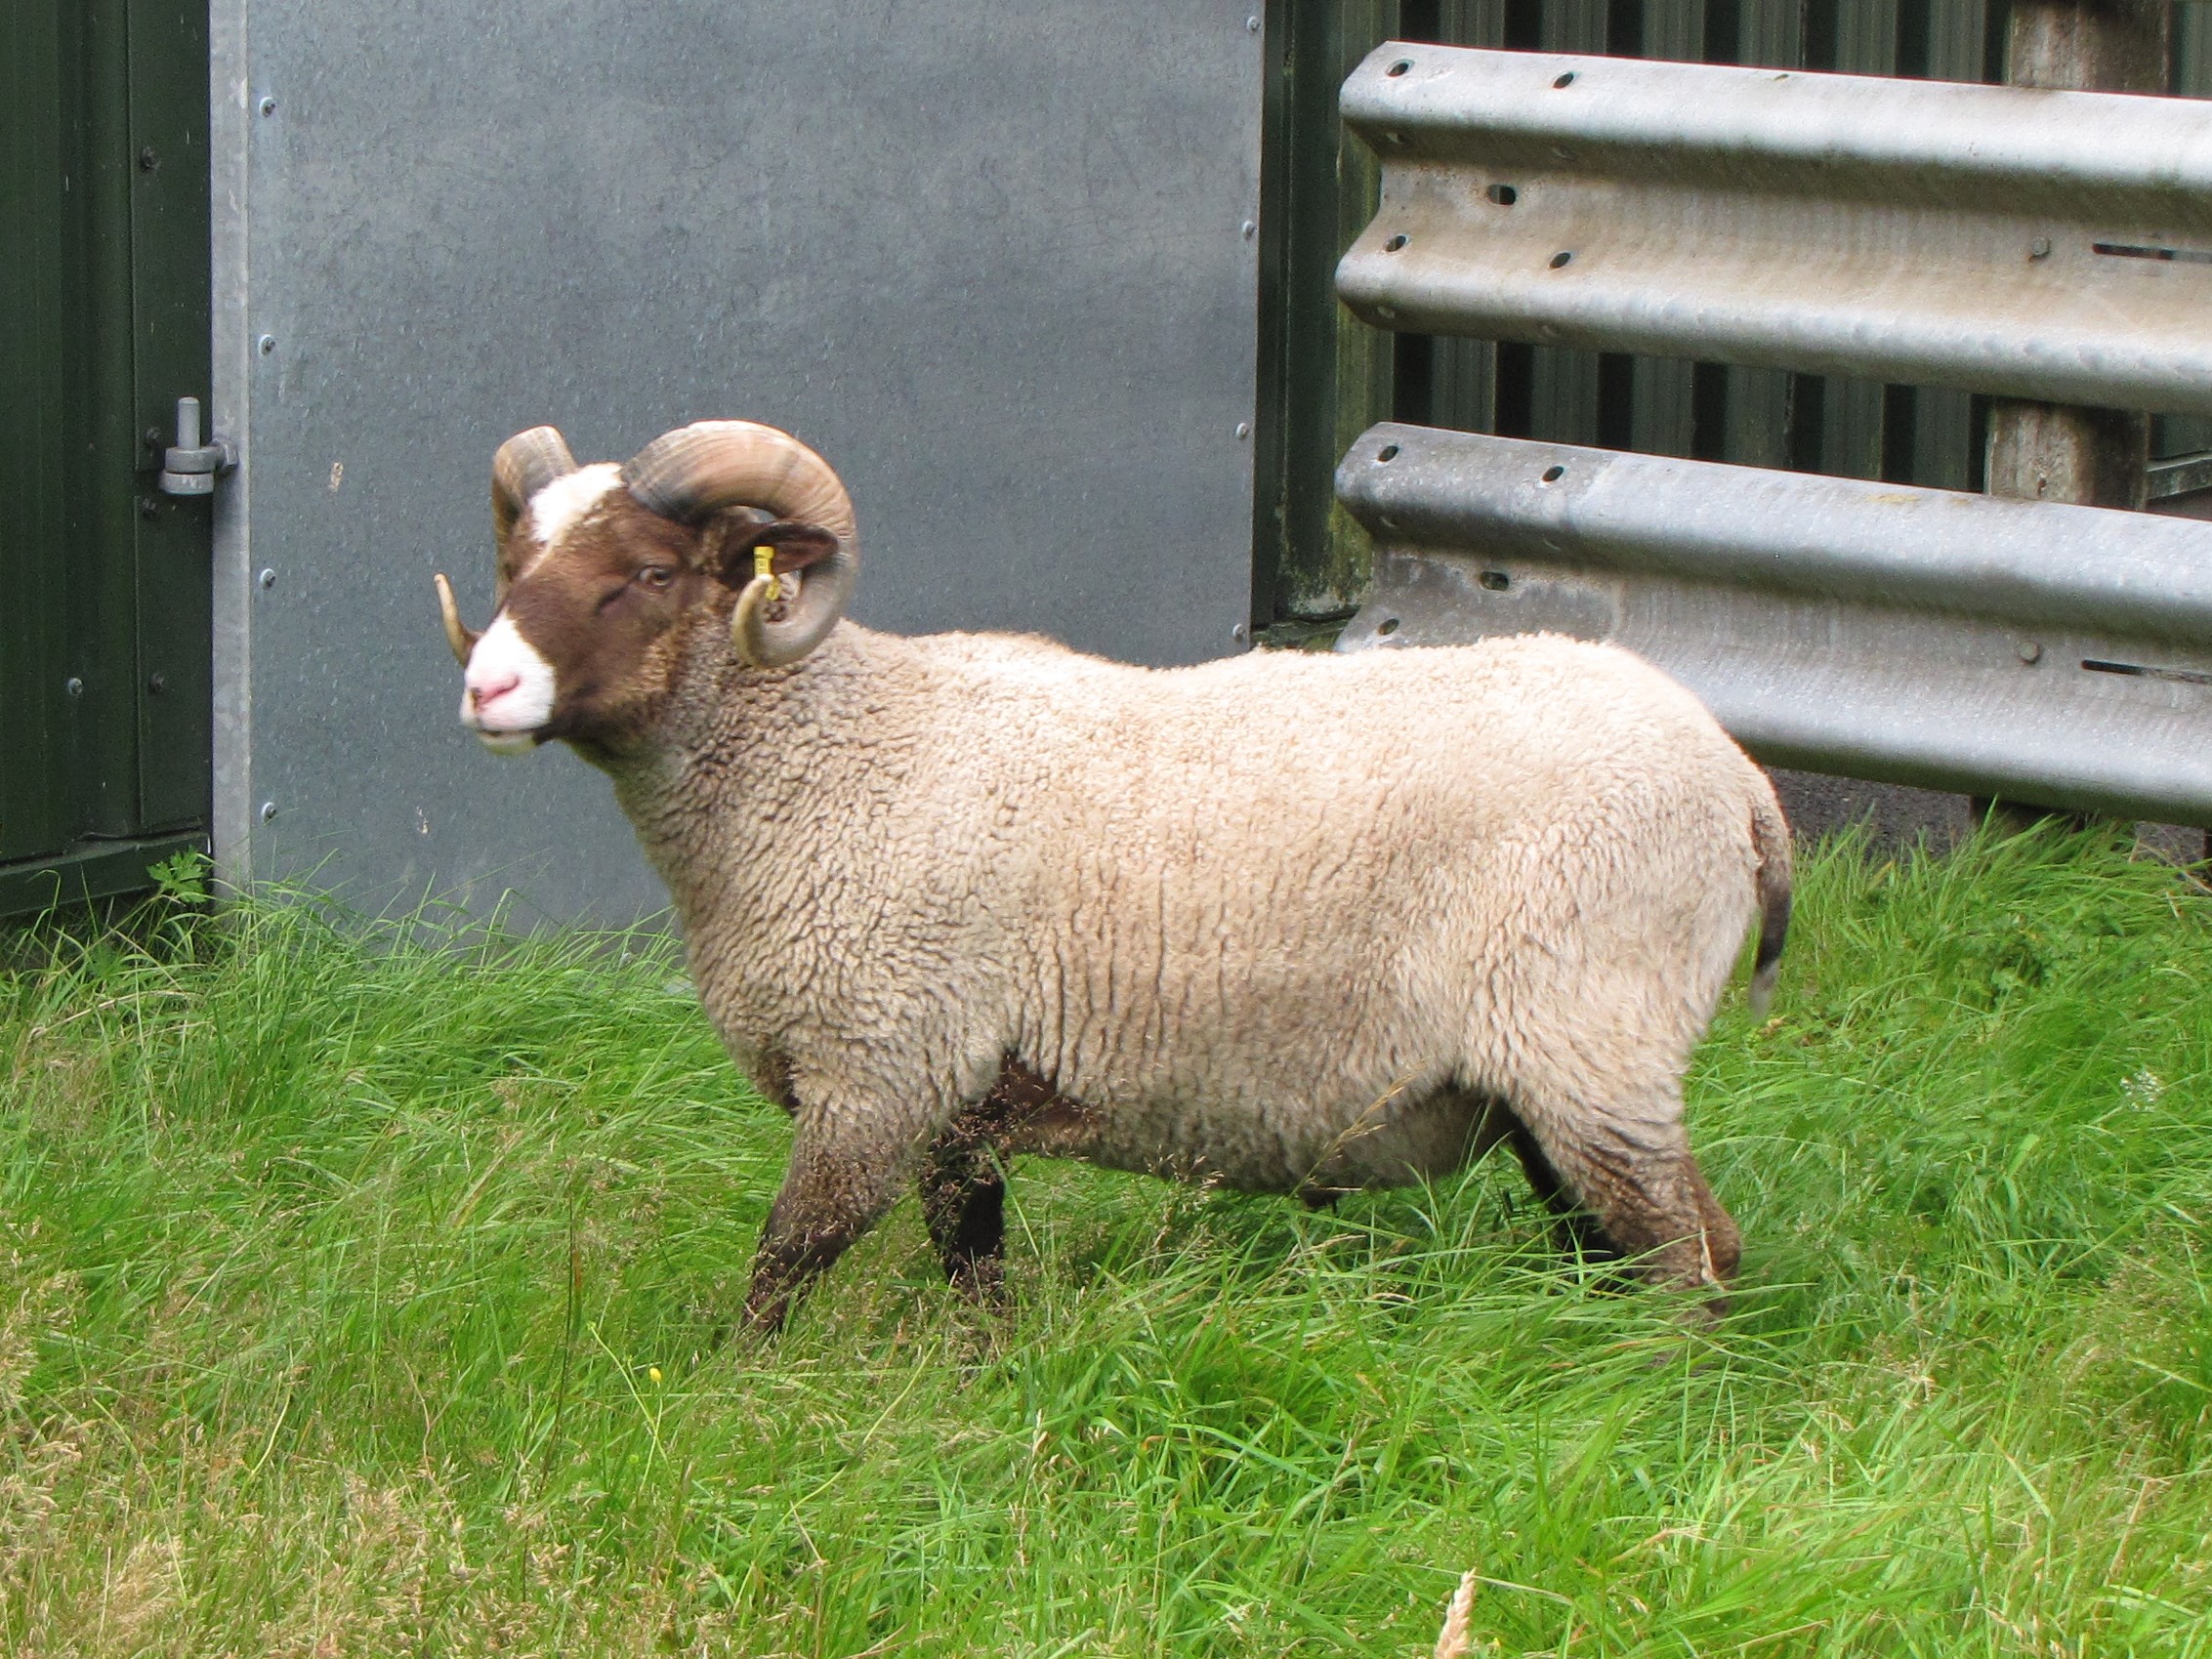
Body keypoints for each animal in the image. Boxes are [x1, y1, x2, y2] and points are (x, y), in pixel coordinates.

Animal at [436, 418, 1796, 1336]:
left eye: (652, 573)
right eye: (513, 565)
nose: (486, 688)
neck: (826, 751)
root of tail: (1741, 782)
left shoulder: (878, 1070)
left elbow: (784, 1262)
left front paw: (737, 1394)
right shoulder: (953, 1094)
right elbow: (973, 1260)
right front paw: (978, 1388)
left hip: (1595, 1037)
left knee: (1687, 1252)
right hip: (1546, 1073)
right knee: (1628, 1243)